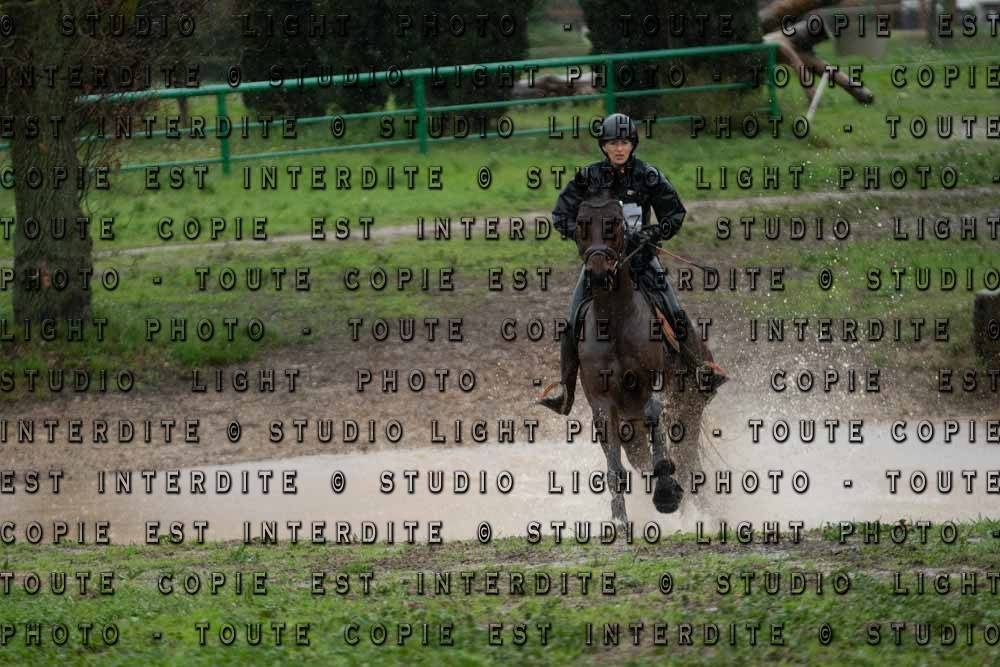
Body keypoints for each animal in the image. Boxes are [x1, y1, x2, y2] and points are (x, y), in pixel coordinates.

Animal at [571, 196, 687, 525]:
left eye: (617, 224)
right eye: (581, 225)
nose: (599, 274)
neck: (615, 322)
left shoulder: (656, 382)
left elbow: (654, 412)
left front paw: (666, 492)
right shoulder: (603, 404)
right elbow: (614, 466)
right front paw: (620, 520)